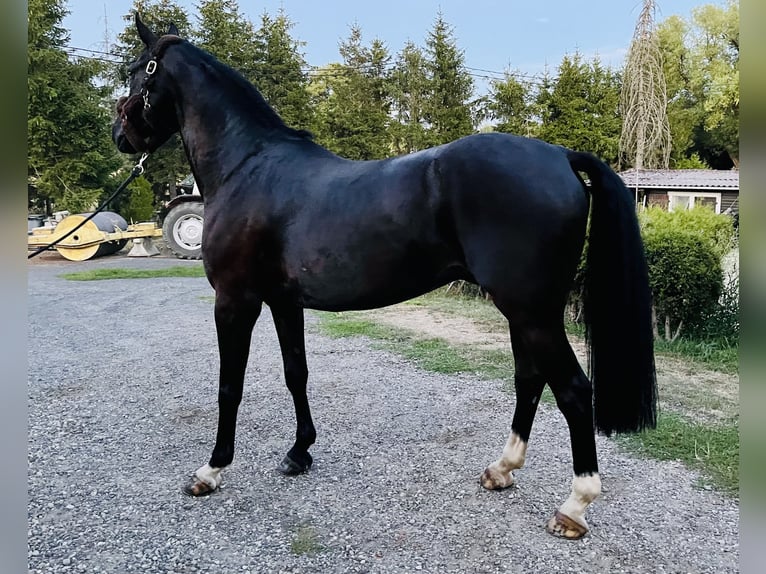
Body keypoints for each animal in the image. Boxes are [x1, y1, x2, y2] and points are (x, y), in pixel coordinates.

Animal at [115, 15, 660, 544]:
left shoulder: (235, 301)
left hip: (532, 312)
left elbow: (230, 386)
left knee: (573, 390)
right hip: (524, 312)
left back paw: (574, 507)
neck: (248, 167)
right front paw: (299, 452)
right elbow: (296, 374)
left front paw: (211, 471)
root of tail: (561, 156)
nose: (121, 136)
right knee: (530, 380)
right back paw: (502, 469)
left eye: (136, 71)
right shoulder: (284, 302)